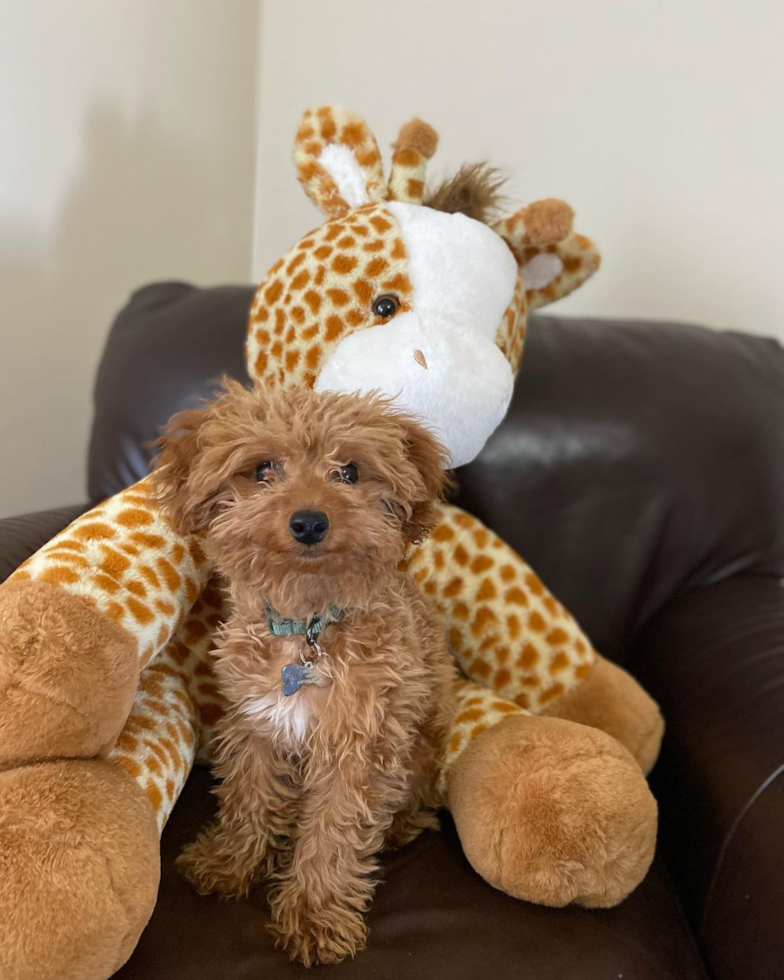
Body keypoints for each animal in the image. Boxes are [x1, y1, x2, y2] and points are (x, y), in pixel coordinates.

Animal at [154, 380, 456, 964]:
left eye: (350, 472)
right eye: (263, 469)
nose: (310, 522)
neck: (309, 628)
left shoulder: (361, 746)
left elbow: (334, 835)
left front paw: (315, 916)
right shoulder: (256, 724)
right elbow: (248, 798)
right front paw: (231, 862)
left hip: (423, 751)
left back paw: (399, 826)